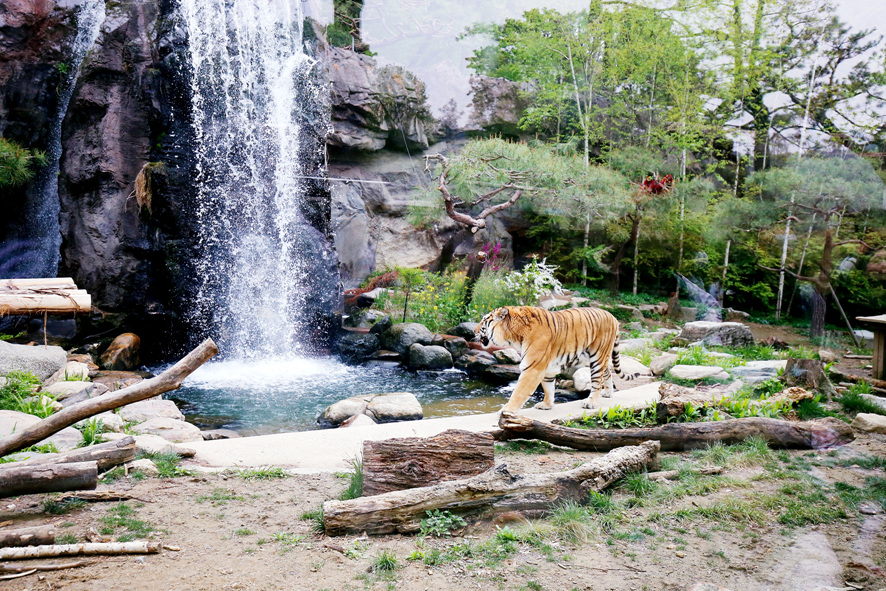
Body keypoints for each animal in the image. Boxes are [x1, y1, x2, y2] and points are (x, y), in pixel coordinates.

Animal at [476, 308, 640, 414]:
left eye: (483, 321)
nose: (474, 331)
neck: (514, 336)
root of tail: (612, 317)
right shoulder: (546, 368)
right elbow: (548, 388)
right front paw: (546, 405)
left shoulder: (532, 368)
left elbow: (519, 392)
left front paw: (507, 409)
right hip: (597, 357)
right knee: (608, 372)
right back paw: (608, 393)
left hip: (597, 357)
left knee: (596, 383)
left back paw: (591, 402)